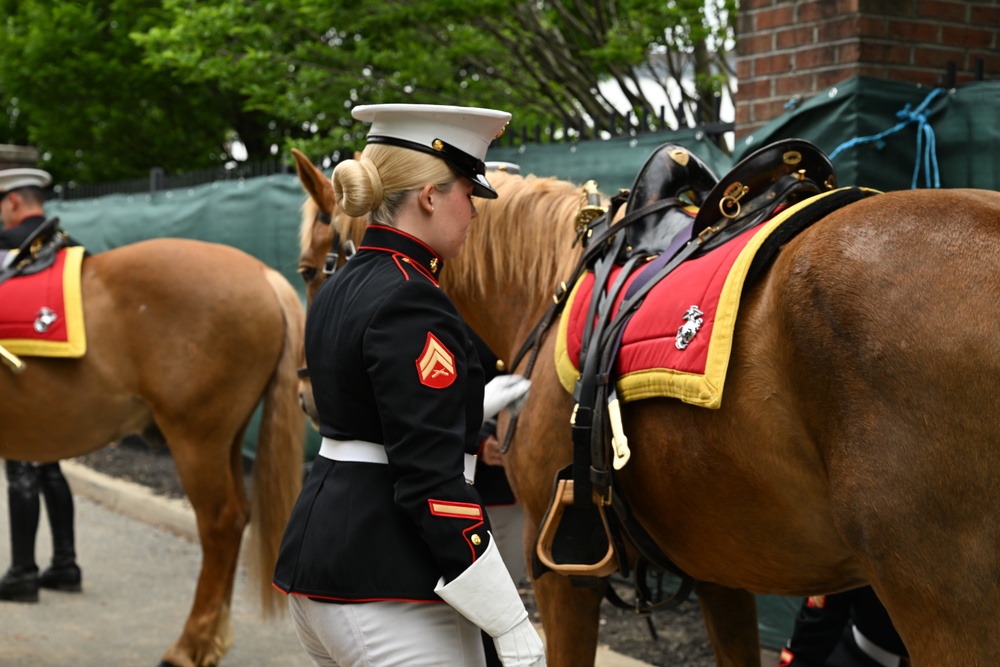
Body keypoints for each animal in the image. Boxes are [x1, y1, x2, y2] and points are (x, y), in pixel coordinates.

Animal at [0, 240, 304, 667]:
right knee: (239, 517)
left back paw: (190, 645)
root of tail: (263, 274)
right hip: (226, 440)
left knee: (221, 524)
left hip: (196, 441)